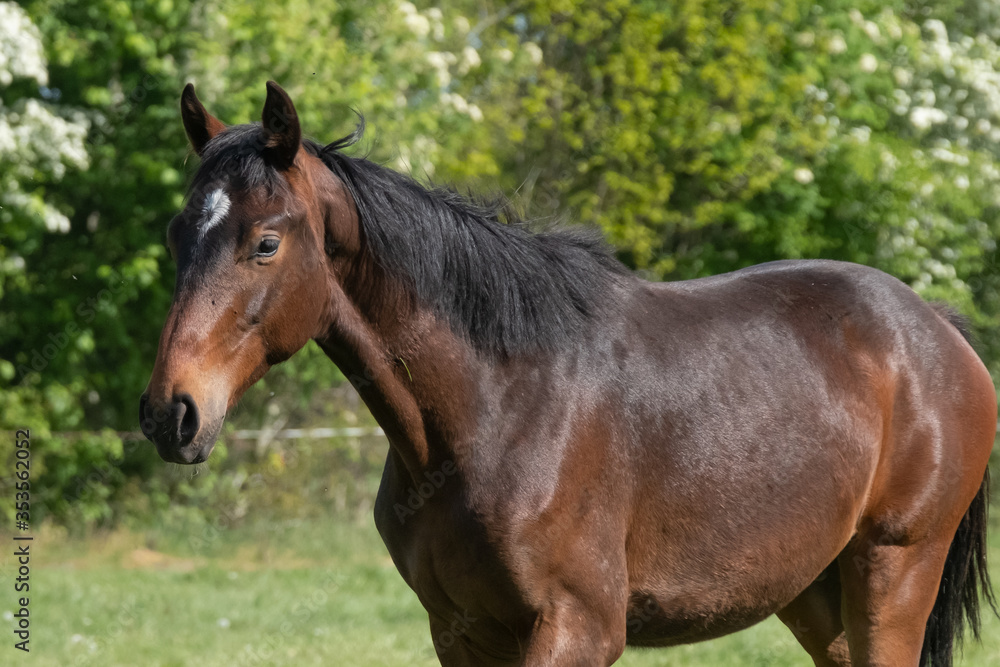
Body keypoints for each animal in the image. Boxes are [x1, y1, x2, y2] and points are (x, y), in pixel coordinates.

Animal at [140, 81, 996, 666]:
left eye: (265, 242)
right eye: (180, 232)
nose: (169, 413)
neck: (498, 408)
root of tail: (934, 328)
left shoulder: (575, 627)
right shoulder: (462, 632)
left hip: (892, 569)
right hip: (814, 590)